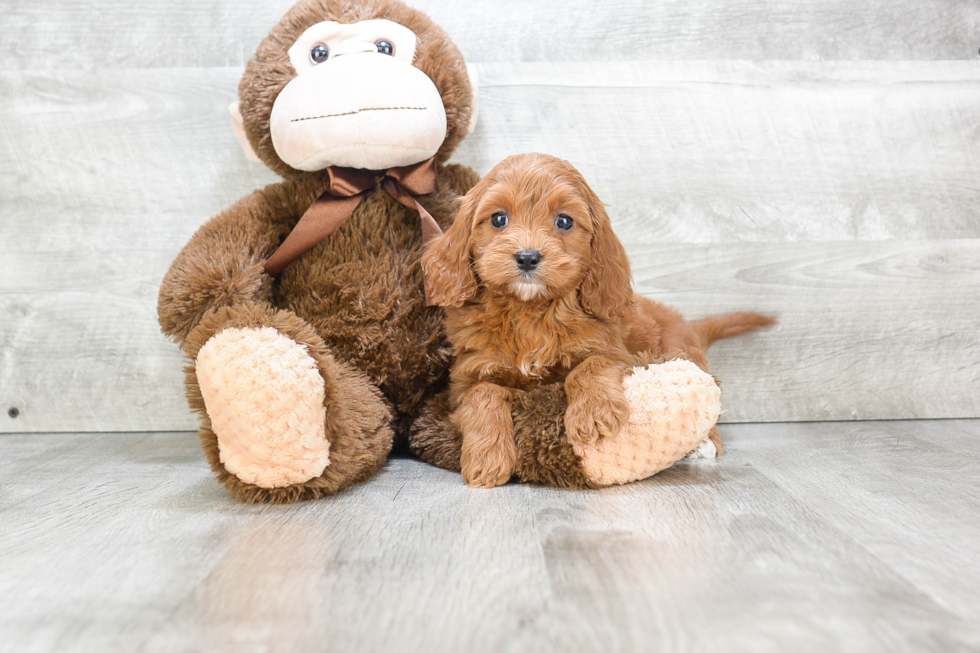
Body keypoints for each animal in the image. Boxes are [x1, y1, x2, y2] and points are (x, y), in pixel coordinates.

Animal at [422, 154, 772, 488]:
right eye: (498, 219)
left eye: (564, 221)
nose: (527, 257)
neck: (529, 312)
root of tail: (688, 324)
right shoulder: (467, 377)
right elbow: (484, 394)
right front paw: (487, 458)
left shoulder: (615, 351)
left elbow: (590, 365)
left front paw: (593, 414)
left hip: (683, 355)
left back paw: (706, 443)